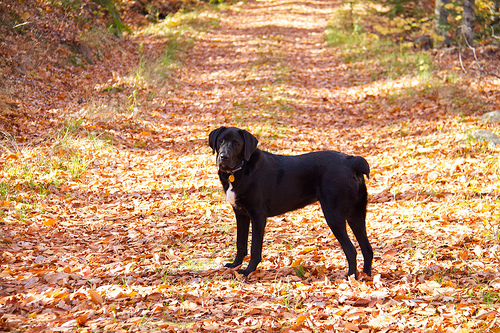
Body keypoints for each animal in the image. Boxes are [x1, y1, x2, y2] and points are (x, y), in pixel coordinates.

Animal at [209, 126, 374, 276]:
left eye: (236, 143)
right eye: (221, 140)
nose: (223, 156)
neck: (240, 170)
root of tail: (352, 161)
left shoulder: (258, 215)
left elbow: (255, 248)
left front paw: (248, 271)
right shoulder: (241, 214)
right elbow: (240, 243)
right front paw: (235, 265)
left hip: (334, 216)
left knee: (351, 250)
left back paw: (351, 277)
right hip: (356, 215)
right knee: (367, 249)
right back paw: (366, 276)